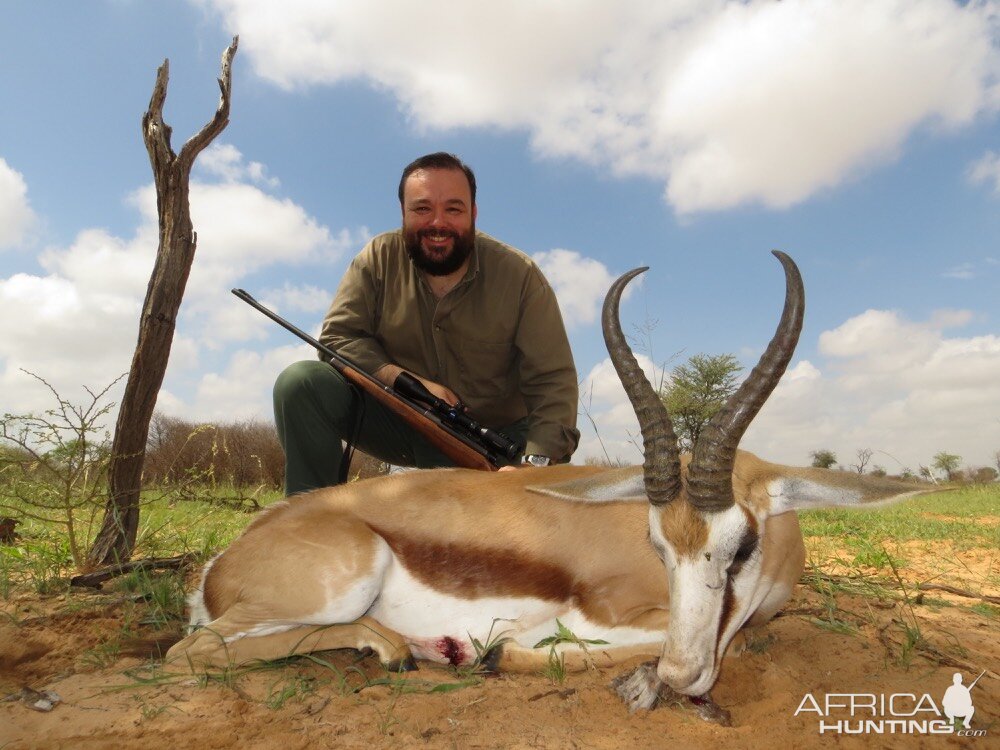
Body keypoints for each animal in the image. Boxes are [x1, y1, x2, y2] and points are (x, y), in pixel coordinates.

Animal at [166, 251, 920, 712]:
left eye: (742, 545)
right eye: (656, 543)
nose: (684, 678)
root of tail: (223, 560)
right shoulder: (600, 617)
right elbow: (573, 646)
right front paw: (501, 656)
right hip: (344, 580)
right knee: (190, 650)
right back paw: (402, 648)